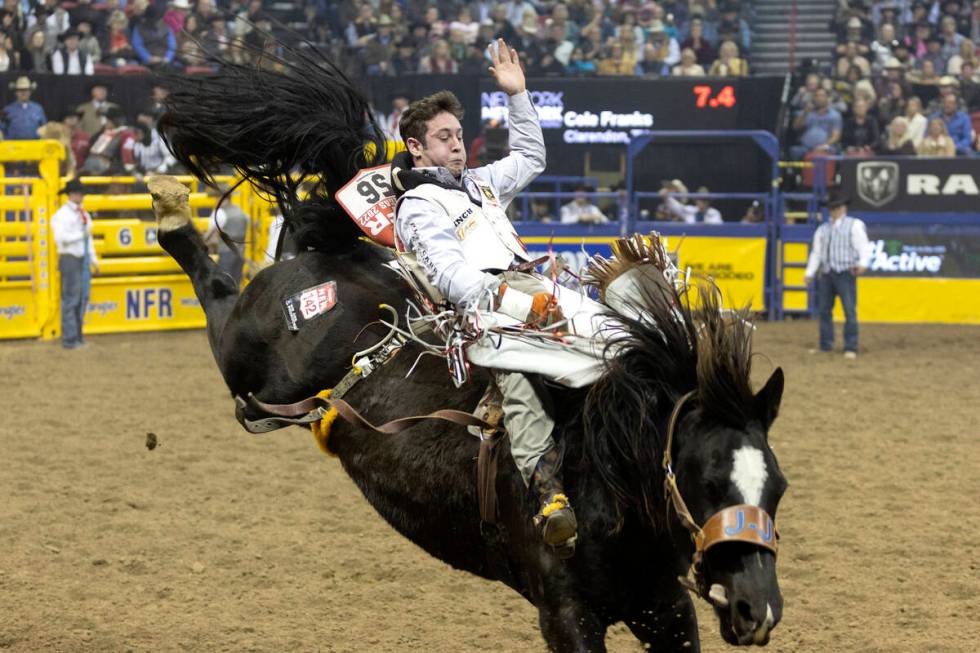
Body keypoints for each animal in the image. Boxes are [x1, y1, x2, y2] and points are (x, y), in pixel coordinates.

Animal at [155, 43, 796, 648]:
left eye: (778, 488)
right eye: (707, 480)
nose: (757, 610)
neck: (605, 467)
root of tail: (344, 254)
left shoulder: (665, 608)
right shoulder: (566, 613)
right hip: (250, 358)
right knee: (214, 293)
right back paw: (170, 210)